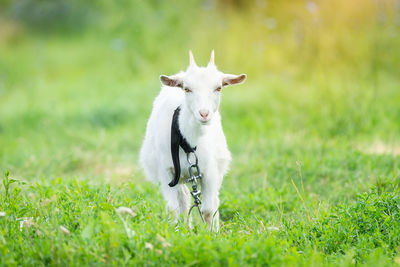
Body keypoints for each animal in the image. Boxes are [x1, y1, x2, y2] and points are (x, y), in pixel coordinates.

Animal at [141, 51, 247, 231]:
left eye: (218, 88)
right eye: (187, 89)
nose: (204, 114)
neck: (188, 143)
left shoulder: (209, 172)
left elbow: (208, 209)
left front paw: (211, 233)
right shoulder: (166, 171)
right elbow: (173, 208)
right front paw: (175, 230)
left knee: (213, 200)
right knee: (183, 198)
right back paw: (186, 227)